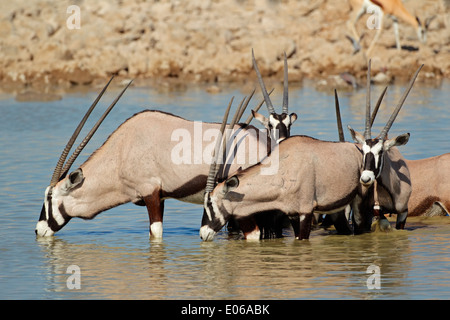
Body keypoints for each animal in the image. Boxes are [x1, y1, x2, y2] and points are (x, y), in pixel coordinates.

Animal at [37, 74, 292, 238]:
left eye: (49, 197)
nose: (38, 230)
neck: (122, 151)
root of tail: (270, 143)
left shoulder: (150, 194)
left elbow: (156, 233)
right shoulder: (160, 197)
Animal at [200, 60, 422, 240]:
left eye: (210, 203)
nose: (203, 233)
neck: (282, 169)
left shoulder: (306, 212)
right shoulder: (291, 214)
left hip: (358, 206)